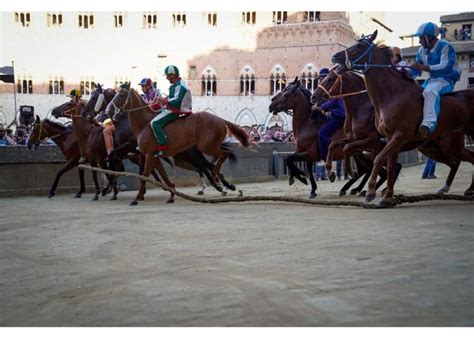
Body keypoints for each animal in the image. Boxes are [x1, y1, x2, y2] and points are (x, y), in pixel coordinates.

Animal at [106, 84, 250, 206]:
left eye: (121, 95)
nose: (108, 111)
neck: (145, 125)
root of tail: (220, 119)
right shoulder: (154, 156)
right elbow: (163, 176)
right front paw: (171, 195)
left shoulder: (149, 155)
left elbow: (144, 176)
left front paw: (136, 199)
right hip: (207, 148)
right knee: (217, 158)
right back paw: (224, 184)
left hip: (205, 148)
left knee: (221, 156)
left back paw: (218, 179)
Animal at [310, 66, 468, 197]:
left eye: (330, 79)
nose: (314, 96)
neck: (360, 110)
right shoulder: (354, 139)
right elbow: (333, 145)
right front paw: (330, 172)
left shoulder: (371, 142)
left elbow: (347, 149)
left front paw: (350, 172)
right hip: (430, 148)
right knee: (453, 163)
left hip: (448, 146)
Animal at [330, 30, 474, 203]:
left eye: (360, 46)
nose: (335, 56)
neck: (392, 95)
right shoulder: (389, 138)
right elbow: (389, 165)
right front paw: (386, 196)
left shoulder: (397, 136)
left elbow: (378, 159)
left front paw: (370, 191)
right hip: (433, 148)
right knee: (456, 162)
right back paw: (447, 188)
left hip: (451, 145)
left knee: (468, 158)